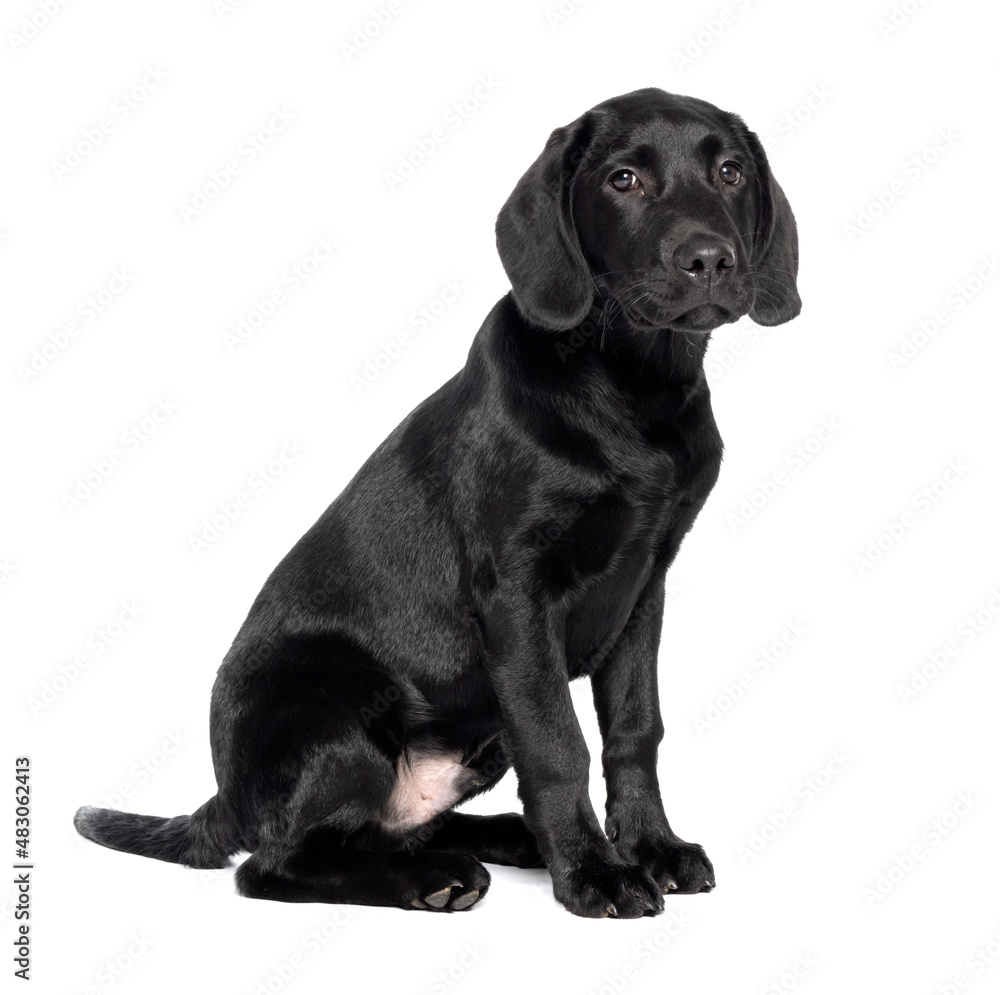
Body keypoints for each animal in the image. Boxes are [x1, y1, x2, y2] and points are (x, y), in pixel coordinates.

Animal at [74, 89, 800, 924]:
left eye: (730, 170)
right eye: (623, 179)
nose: (710, 258)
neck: (631, 385)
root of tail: (226, 795)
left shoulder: (644, 585)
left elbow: (633, 730)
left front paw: (651, 847)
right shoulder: (516, 594)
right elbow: (559, 742)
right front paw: (595, 873)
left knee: (387, 829)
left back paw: (505, 838)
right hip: (333, 708)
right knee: (276, 864)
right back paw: (438, 877)